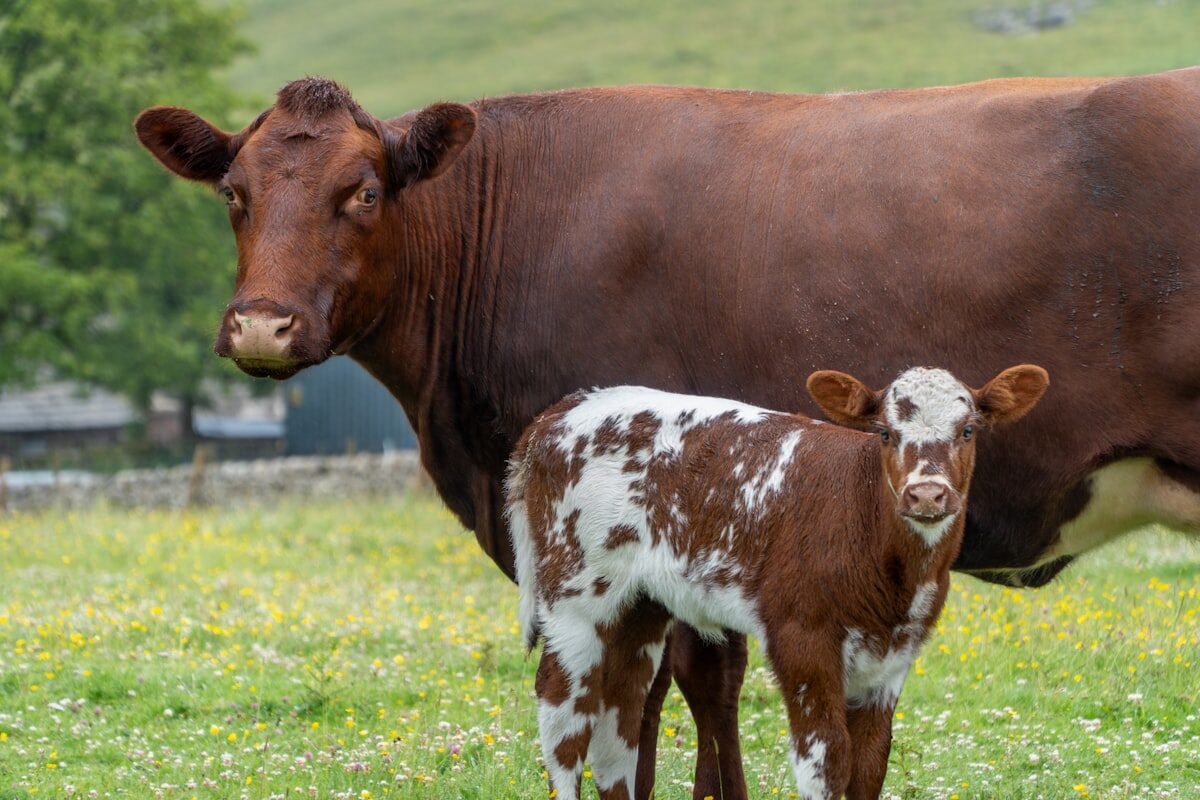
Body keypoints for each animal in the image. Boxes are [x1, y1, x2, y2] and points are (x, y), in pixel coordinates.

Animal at [506, 365, 1048, 800]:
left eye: (968, 430)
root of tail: (560, 413)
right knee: (563, 712)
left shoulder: (894, 656)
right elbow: (826, 762)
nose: (927, 494)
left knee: (621, 716)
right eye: (885, 434)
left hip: (639, 604)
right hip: (574, 593)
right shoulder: (802, 638)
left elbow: (869, 766)